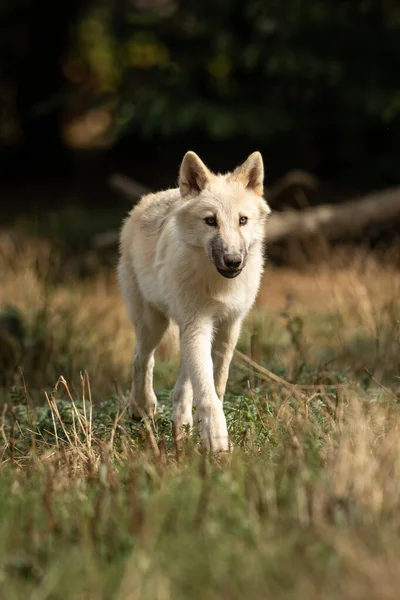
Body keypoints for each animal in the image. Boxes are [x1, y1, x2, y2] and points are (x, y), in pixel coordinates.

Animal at [117, 152, 270, 452]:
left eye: (242, 220)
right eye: (210, 221)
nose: (233, 261)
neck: (218, 284)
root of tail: (148, 199)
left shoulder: (228, 327)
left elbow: (216, 383)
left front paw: (203, 430)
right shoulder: (197, 325)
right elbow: (206, 390)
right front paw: (217, 440)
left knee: (181, 381)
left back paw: (182, 422)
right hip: (154, 325)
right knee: (142, 358)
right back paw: (142, 407)